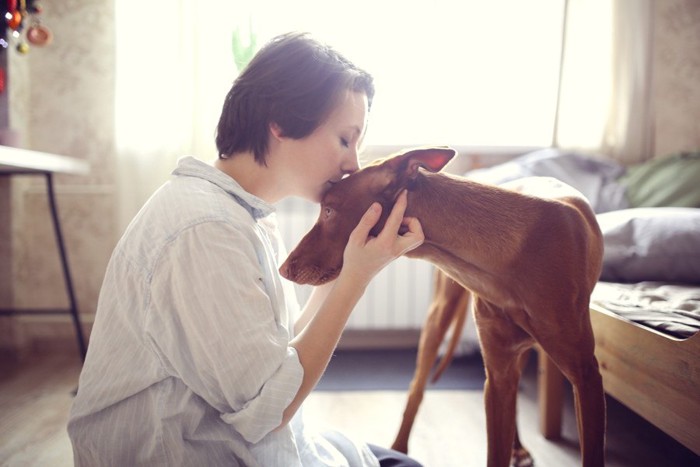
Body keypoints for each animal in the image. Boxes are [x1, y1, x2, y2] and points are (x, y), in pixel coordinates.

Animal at [282, 147, 604, 467]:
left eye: (328, 210)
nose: (283, 269)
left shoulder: (586, 377)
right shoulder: (497, 376)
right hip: (439, 319)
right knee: (416, 390)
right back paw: (399, 448)